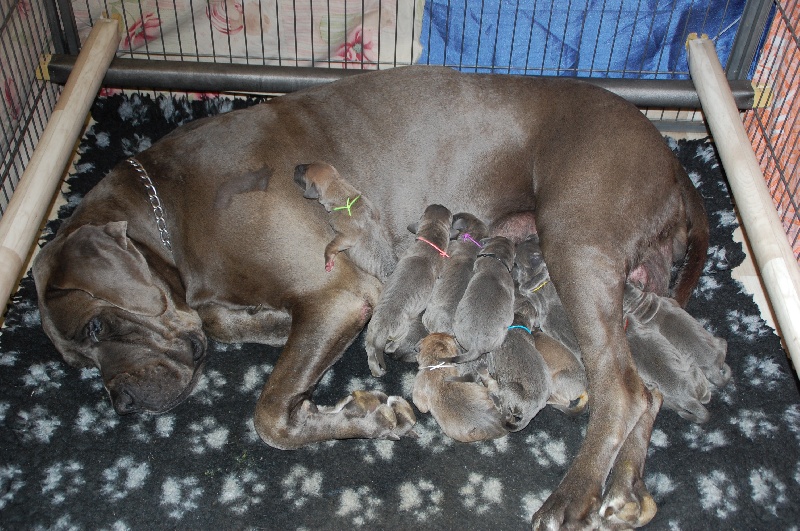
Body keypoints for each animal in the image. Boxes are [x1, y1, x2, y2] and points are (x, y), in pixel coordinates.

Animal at [364, 205, 454, 378]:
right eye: (451, 216)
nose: (441, 205)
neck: (429, 242)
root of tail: (382, 330)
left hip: (370, 333)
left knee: (371, 354)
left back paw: (376, 372)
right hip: (401, 330)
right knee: (393, 345)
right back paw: (389, 349)